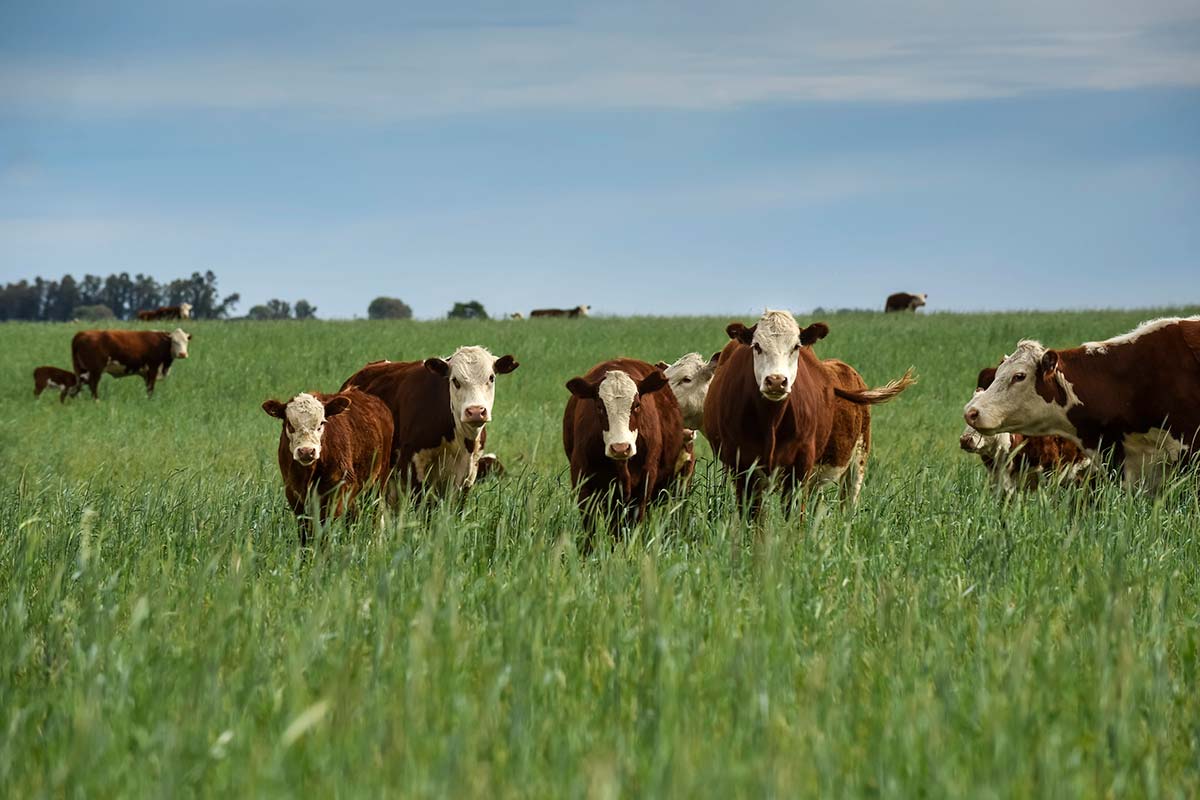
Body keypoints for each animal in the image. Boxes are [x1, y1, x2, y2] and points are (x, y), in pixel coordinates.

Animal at [262, 388, 393, 546]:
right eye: (290, 424)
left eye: (321, 424)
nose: (306, 451)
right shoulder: (293, 492)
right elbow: (305, 531)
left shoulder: (337, 490)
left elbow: (325, 529)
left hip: (378, 483)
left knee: (375, 515)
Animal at [563, 358, 688, 540]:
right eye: (599, 407)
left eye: (636, 405)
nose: (620, 448)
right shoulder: (582, 480)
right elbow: (590, 528)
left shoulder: (645, 482)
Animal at [703, 309, 915, 514]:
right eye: (757, 346)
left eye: (796, 347)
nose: (776, 381)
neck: (772, 421)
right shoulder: (744, 470)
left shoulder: (800, 469)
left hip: (857, 462)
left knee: (847, 507)